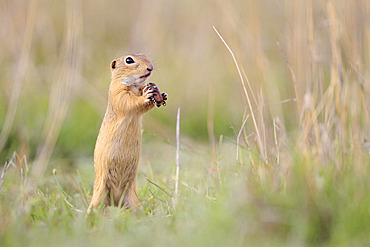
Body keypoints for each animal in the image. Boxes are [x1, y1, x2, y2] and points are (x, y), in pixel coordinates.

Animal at [88, 54, 166, 214]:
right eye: (129, 60)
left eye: (145, 56)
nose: (150, 67)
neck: (134, 86)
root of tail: (115, 201)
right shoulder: (118, 93)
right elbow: (129, 102)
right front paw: (148, 94)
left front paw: (160, 94)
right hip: (98, 198)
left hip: (132, 200)